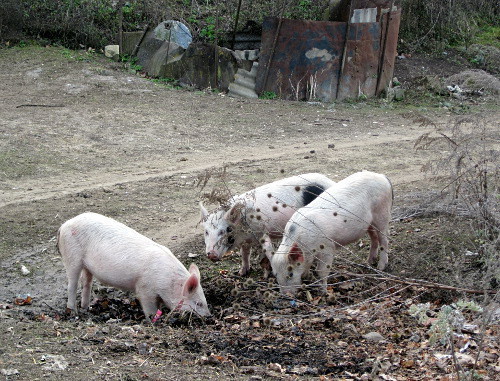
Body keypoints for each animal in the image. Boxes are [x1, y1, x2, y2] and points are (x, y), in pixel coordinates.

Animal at [57, 211, 211, 318]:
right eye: (198, 303)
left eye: (204, 300)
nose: (209, 317)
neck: (168, 283)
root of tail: (64, 225)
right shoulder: (144, 288)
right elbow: (149, 307)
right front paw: (153, 320)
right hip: (72, 257)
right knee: (72, 284)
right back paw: (73, 312)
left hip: (87, 266)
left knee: (86, 283)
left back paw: (86, 308)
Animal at [197, 173, 334, 276]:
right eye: (206, 232)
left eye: (226, 230)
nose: (211, 254)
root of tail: (330, 182)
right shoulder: (245, 240)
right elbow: (244, 253)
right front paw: (241, 273)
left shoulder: (262, 231)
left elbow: (267, 251)